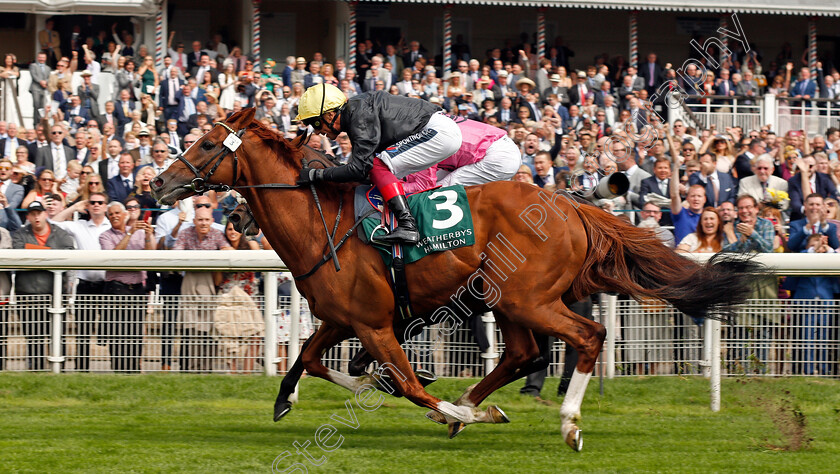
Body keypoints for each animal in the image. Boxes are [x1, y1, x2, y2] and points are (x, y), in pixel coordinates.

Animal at [151, 107, 760, 452]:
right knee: (523, 354)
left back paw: (565, 422)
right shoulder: (344, 318)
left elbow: (410, 386)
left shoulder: (374, 324)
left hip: (528, 297)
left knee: (586, 338)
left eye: (207, 144)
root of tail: (571, 207)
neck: (323, 220)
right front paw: (292, 397)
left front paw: (451, 408)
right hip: (505, 299)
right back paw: (481, 400)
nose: (156, 184)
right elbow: (311, 358)